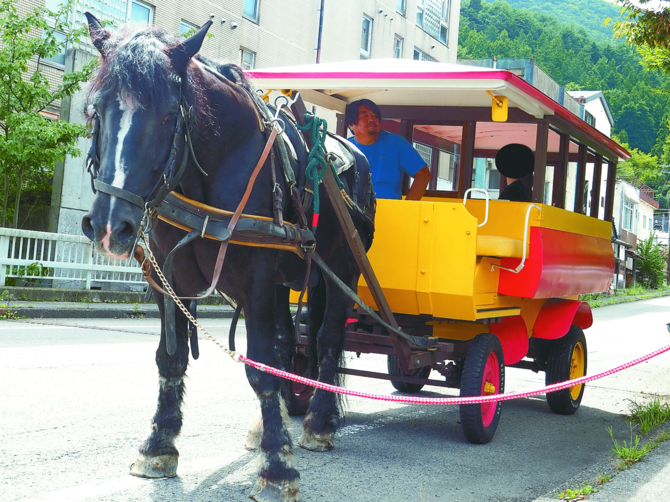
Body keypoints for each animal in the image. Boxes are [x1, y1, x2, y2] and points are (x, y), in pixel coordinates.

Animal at [80, 14, 375, 502]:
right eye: (97, 110)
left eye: (168, 114)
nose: (109, 226)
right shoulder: (169, 278)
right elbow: (172, 358)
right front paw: (159, 444)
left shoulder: (256, 278)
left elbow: (261, 370)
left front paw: (277, 468)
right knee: (289, 344)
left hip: (342, 271)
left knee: (328, 339)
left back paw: (318, 421)